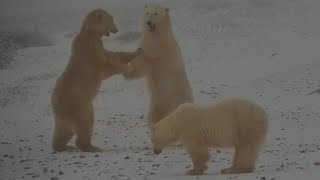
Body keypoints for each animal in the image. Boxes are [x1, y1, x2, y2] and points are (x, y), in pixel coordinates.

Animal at [51, 8, 142, 152]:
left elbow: (112, 55)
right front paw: (128, 68)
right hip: (79, 106)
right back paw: (91, 147)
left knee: (63, 130)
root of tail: (56, 107)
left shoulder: (99, 46)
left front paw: (137, 51)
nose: (116, 30)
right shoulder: (91, 51)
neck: (89, 33)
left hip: (64, 116)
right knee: (85, 124)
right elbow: (106, 67)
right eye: (111, 19)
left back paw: (64, 146)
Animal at [122, 4, 192, 136]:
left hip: (180, 97)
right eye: (147, 13)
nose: (149, 22)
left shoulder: (164, 48)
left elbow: (152, 60)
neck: (155, 35)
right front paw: (127, 71)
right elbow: (141, 68)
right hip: (156, 104)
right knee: (153, 118)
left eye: (156, 13)